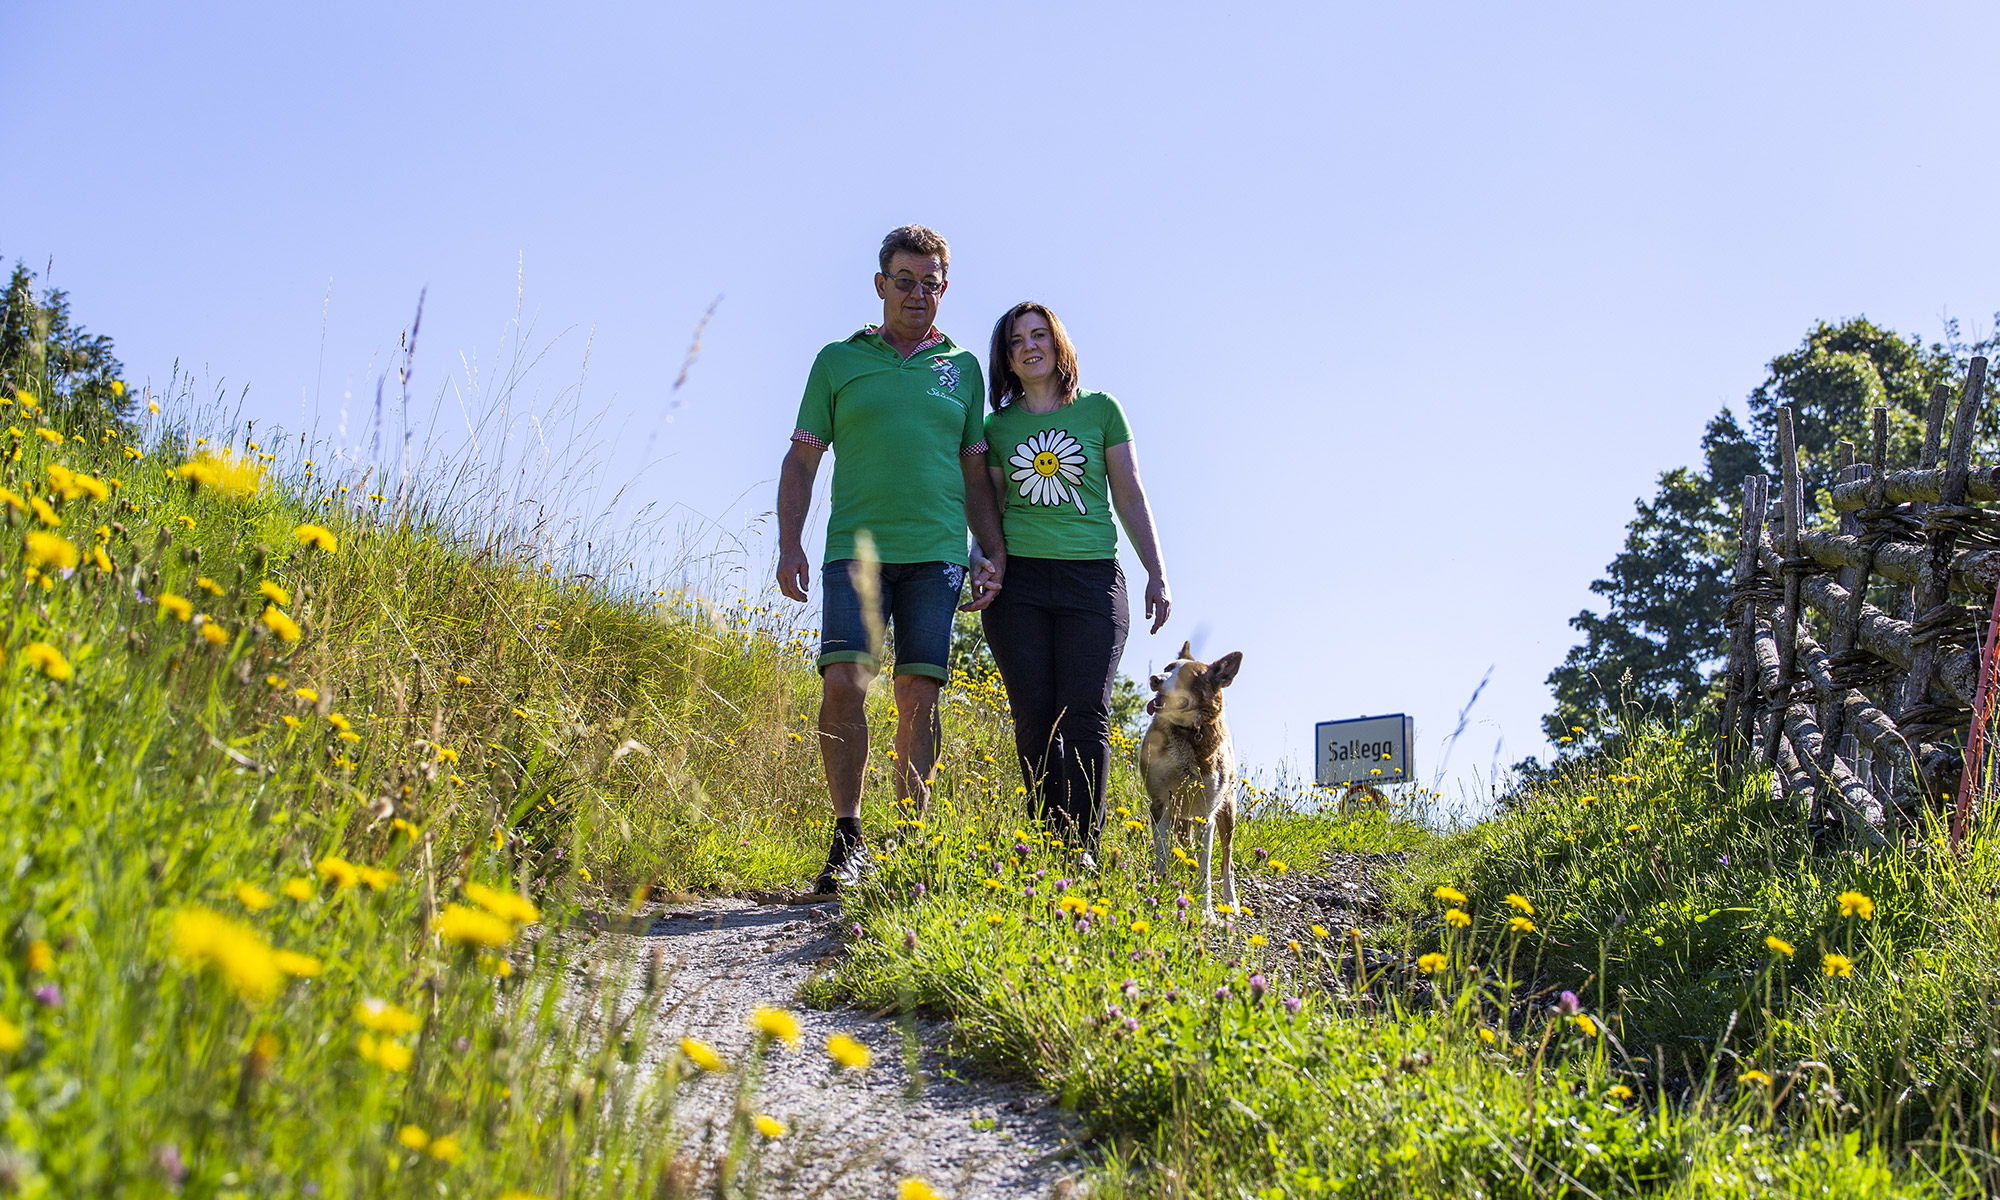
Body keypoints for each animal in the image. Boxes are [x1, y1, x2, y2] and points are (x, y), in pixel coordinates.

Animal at [1152, 644, 1240, 916]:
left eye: (1188, 676)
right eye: (1168, 668)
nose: (1155, 678)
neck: (1188, 732)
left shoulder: (1207, 816)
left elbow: (1205, 866)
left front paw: (1206, 910)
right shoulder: (1160, 805)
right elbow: (1163, 853)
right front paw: (1160, 888)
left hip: (1227, 811)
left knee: (1226, 859)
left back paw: (1231, 902)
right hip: (1181, 816)